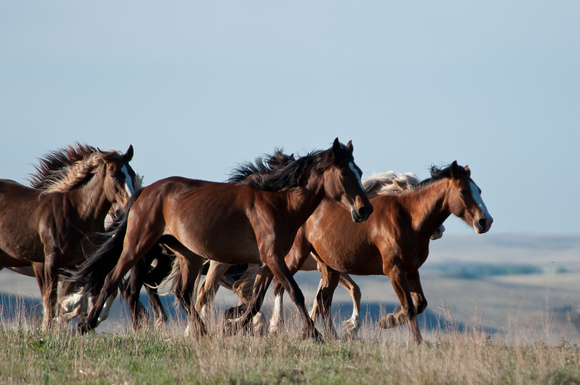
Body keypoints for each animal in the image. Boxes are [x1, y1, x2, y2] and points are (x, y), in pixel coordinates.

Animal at [0, 142, 137, 328]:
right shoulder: (50, 262)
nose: (129, 206)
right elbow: (50, 301)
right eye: (114, 175)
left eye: (132, 174)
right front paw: (52, 324)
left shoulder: (77, 265)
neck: (78, 213)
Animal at [73, 137, 372, 340]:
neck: (278, 203)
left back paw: (201, 331)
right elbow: (294, 293)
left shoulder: (267, 264)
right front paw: (314, 335)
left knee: (183, 293)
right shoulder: (274, 259)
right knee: (115, 280)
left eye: (360, 172)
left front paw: (233, 327)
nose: (364, 210)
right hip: (138, 245)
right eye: (346, 172)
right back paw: (86, 325)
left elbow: (256, 301)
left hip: (189, 255)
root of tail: (143, 193)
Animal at [236, 160, 494, 344]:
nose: (485, 221)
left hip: (329, 267)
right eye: (463, 192)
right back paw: (270, 326)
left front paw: (389, 320)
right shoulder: (394, 271)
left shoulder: (412, 271)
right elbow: (410, 307)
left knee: (321, 300)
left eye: (480, 190)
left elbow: (420, 303)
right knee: (275, 283)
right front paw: (416, 340)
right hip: (295, 256)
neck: (408, 218)